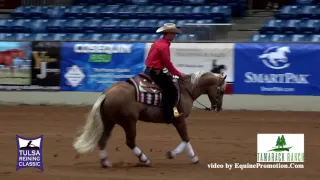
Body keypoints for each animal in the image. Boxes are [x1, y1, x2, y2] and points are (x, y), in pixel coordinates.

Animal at [72, 70, 228, 167]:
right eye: (221, 91)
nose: (218, 108)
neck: (186, 90)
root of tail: (107, 93)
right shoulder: (180, 119)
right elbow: (185, 138)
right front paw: (174, 154)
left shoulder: (179, 121)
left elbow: (186, 138)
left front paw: (193, 157)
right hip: (129, 122)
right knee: (130, 142)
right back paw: (145, 160)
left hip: (109, 122)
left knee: (103, 140)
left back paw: (105, 163)